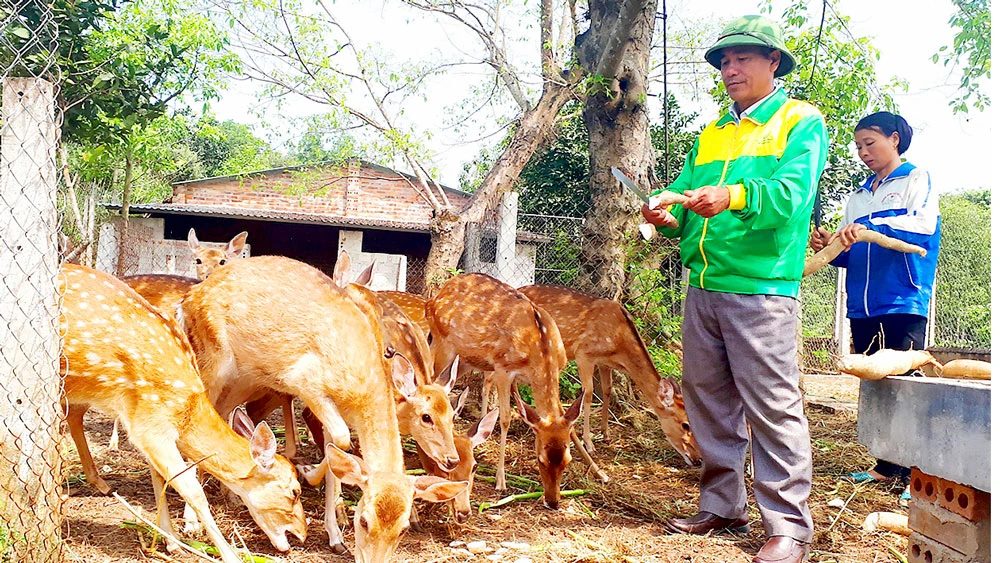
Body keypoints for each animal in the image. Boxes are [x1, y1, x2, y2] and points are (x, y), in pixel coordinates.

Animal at [60, 264, 304, 563]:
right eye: (294, 491)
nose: (301, 535)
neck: (187, 408)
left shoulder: (149, 428)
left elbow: (160, 479)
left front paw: (171, 541)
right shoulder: (149, 423)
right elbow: (192, 490)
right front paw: (225, 553)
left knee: (73, 415)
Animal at [181, 256, 468, 560]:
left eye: (402, 530)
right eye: (364, 520)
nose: (451, 460)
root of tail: (190, 297)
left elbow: (335, 452)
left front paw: (336, 537)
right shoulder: (306, 384)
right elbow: (341, 440)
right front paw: (306, 471)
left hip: (243, 377)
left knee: (224, 413)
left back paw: (232, 495)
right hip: (212, 360)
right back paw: (191, 521)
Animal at [516, 286, 704, 468]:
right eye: (685, 424)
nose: (698, 459)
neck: (618, 344)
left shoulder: (604, 363)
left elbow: (607, 390)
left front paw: (605, 434)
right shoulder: (584, 353)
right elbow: (588, 393)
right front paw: (589, 444)